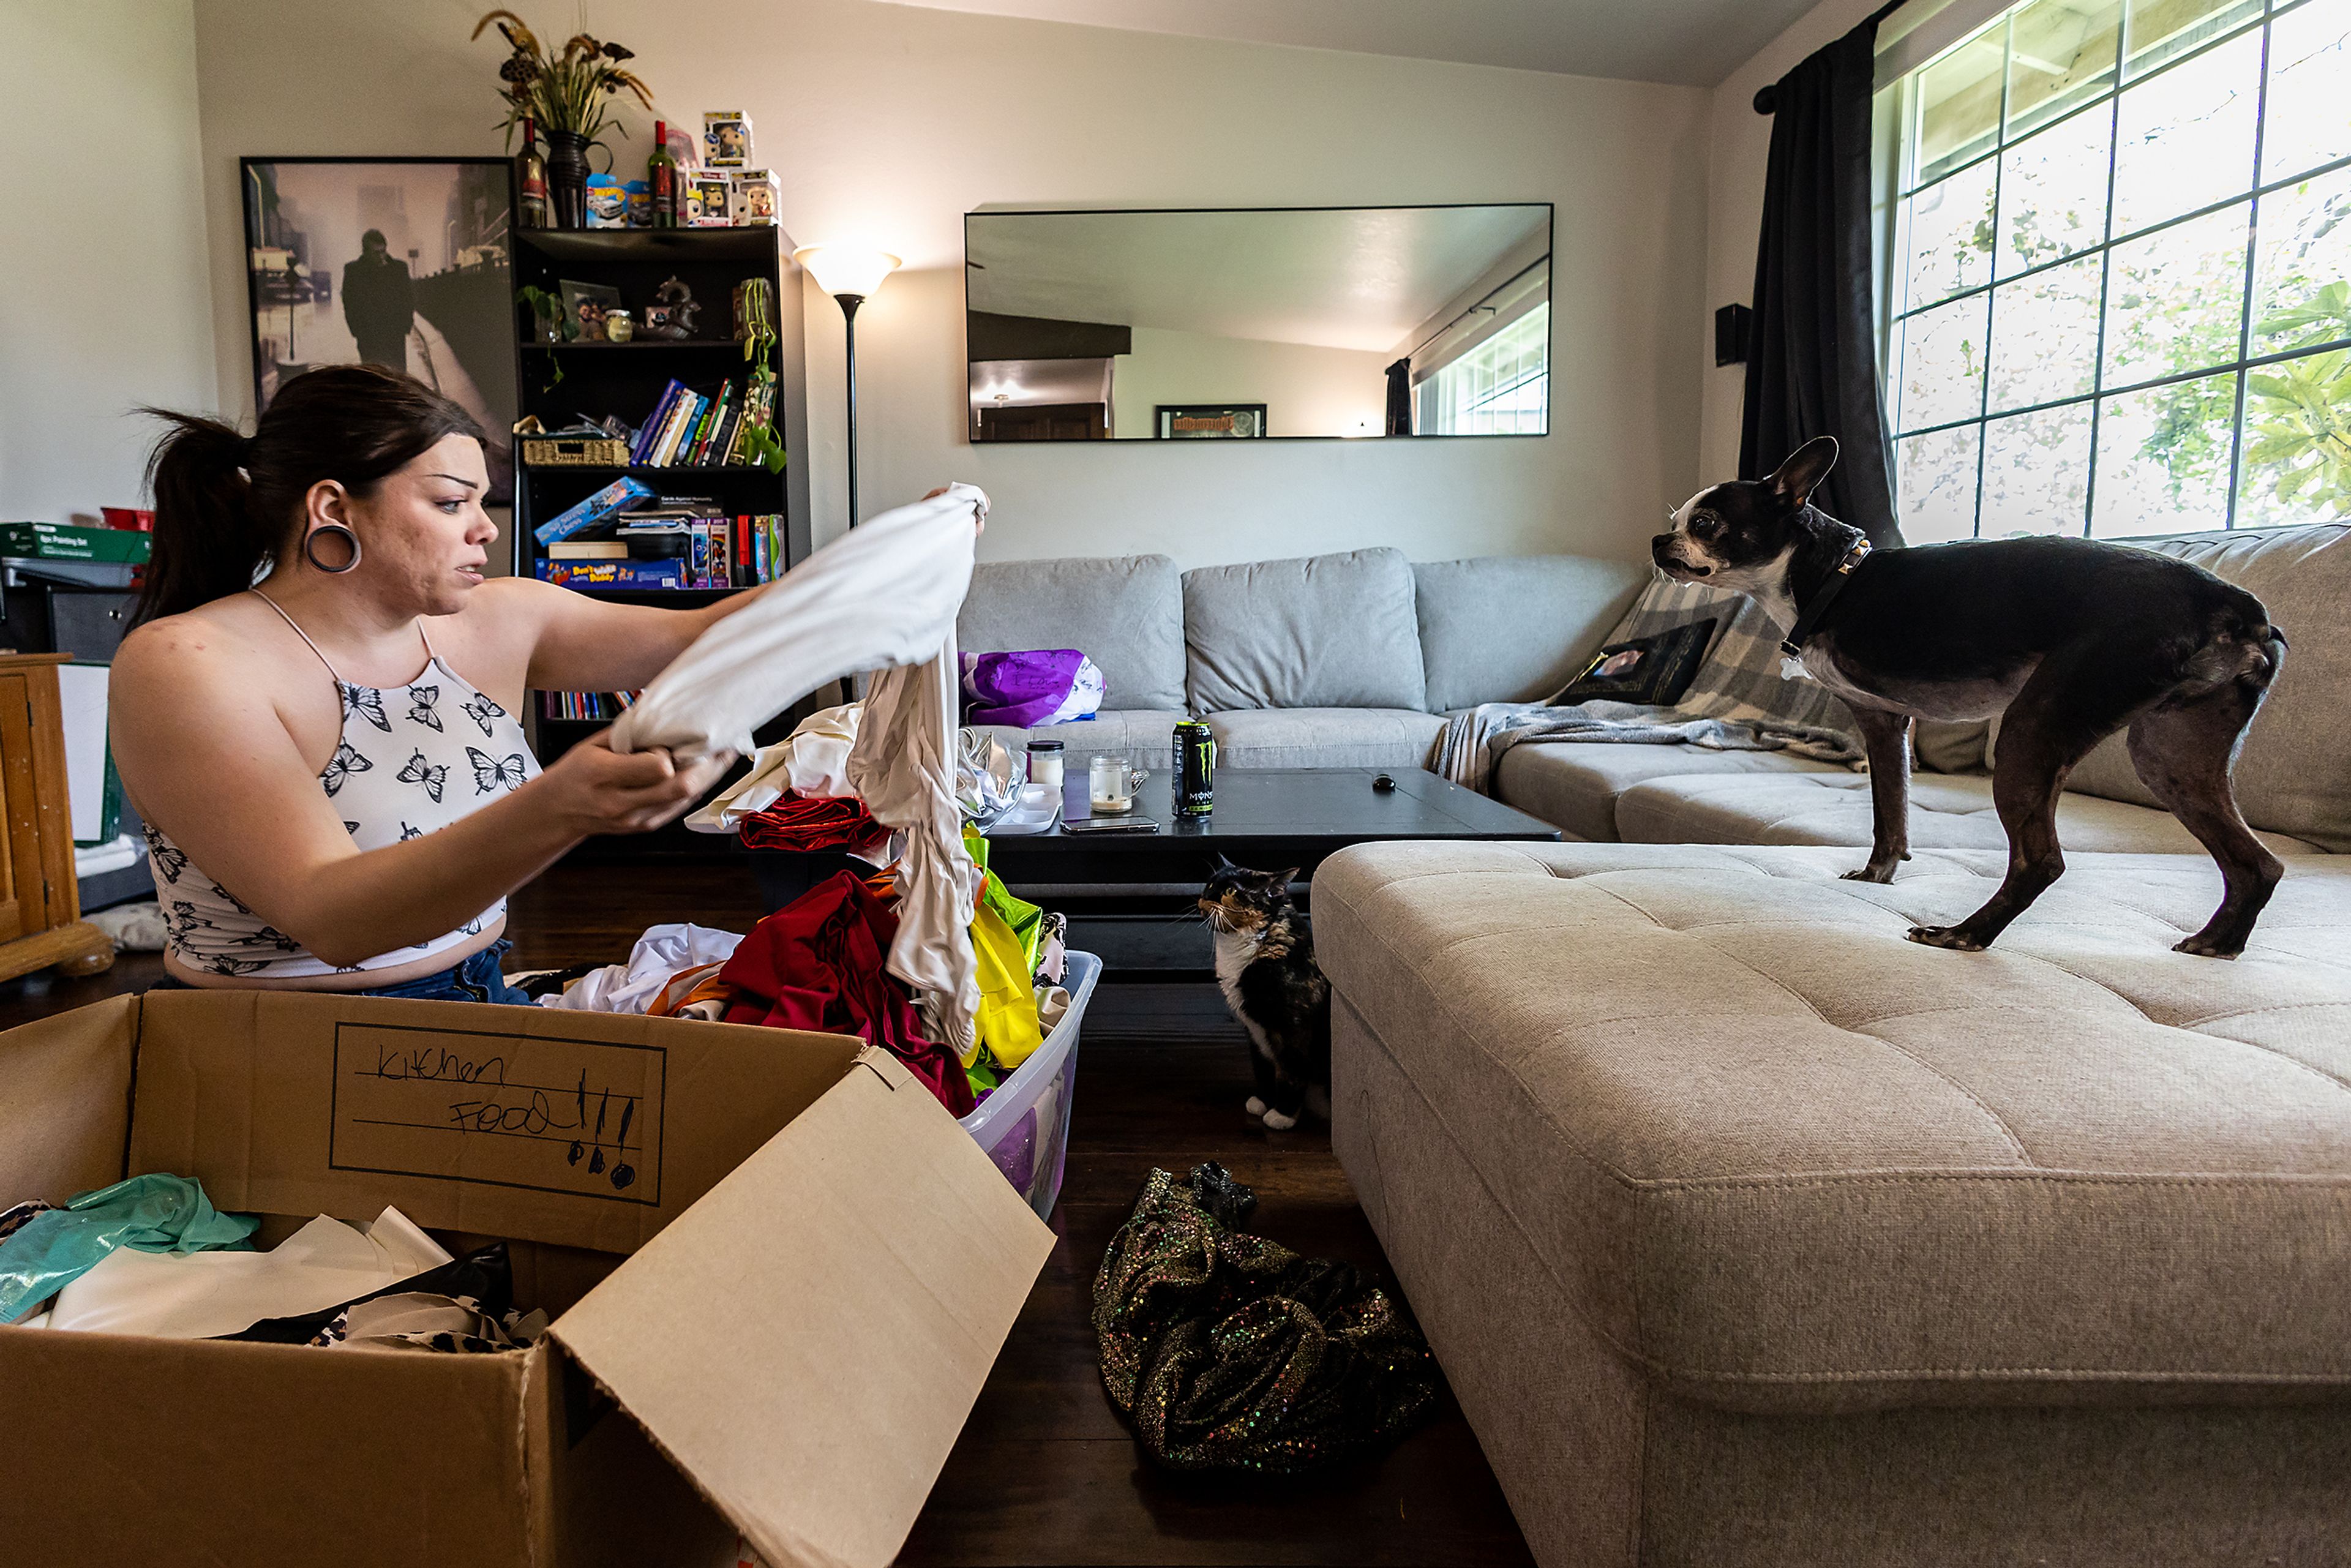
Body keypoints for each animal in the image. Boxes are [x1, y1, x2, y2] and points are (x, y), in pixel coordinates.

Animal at [1204, 869, 1335, 1128]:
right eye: (1210, 884)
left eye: (1231, 891)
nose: (1205, 898)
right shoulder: (1253, 1031)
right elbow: (1262, 1066)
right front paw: (1264, 1101)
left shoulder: (1294, 1026)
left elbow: (1292, 1069)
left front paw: (1283, 1115)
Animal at [1655, 435, 2276, 964]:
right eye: (1674, 521)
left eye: (1706, 524)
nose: (1659, 541)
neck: (1835, 575)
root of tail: (2235, 605)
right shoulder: (1884, 722)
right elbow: (1892, 813)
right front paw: (1879, 875)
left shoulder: (1880, 718)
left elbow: (1891, 809)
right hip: (2172, 756)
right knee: (2259, 864)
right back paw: (2218, 941)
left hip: (2034, 729)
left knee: (2040, 861)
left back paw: (1964, 933)